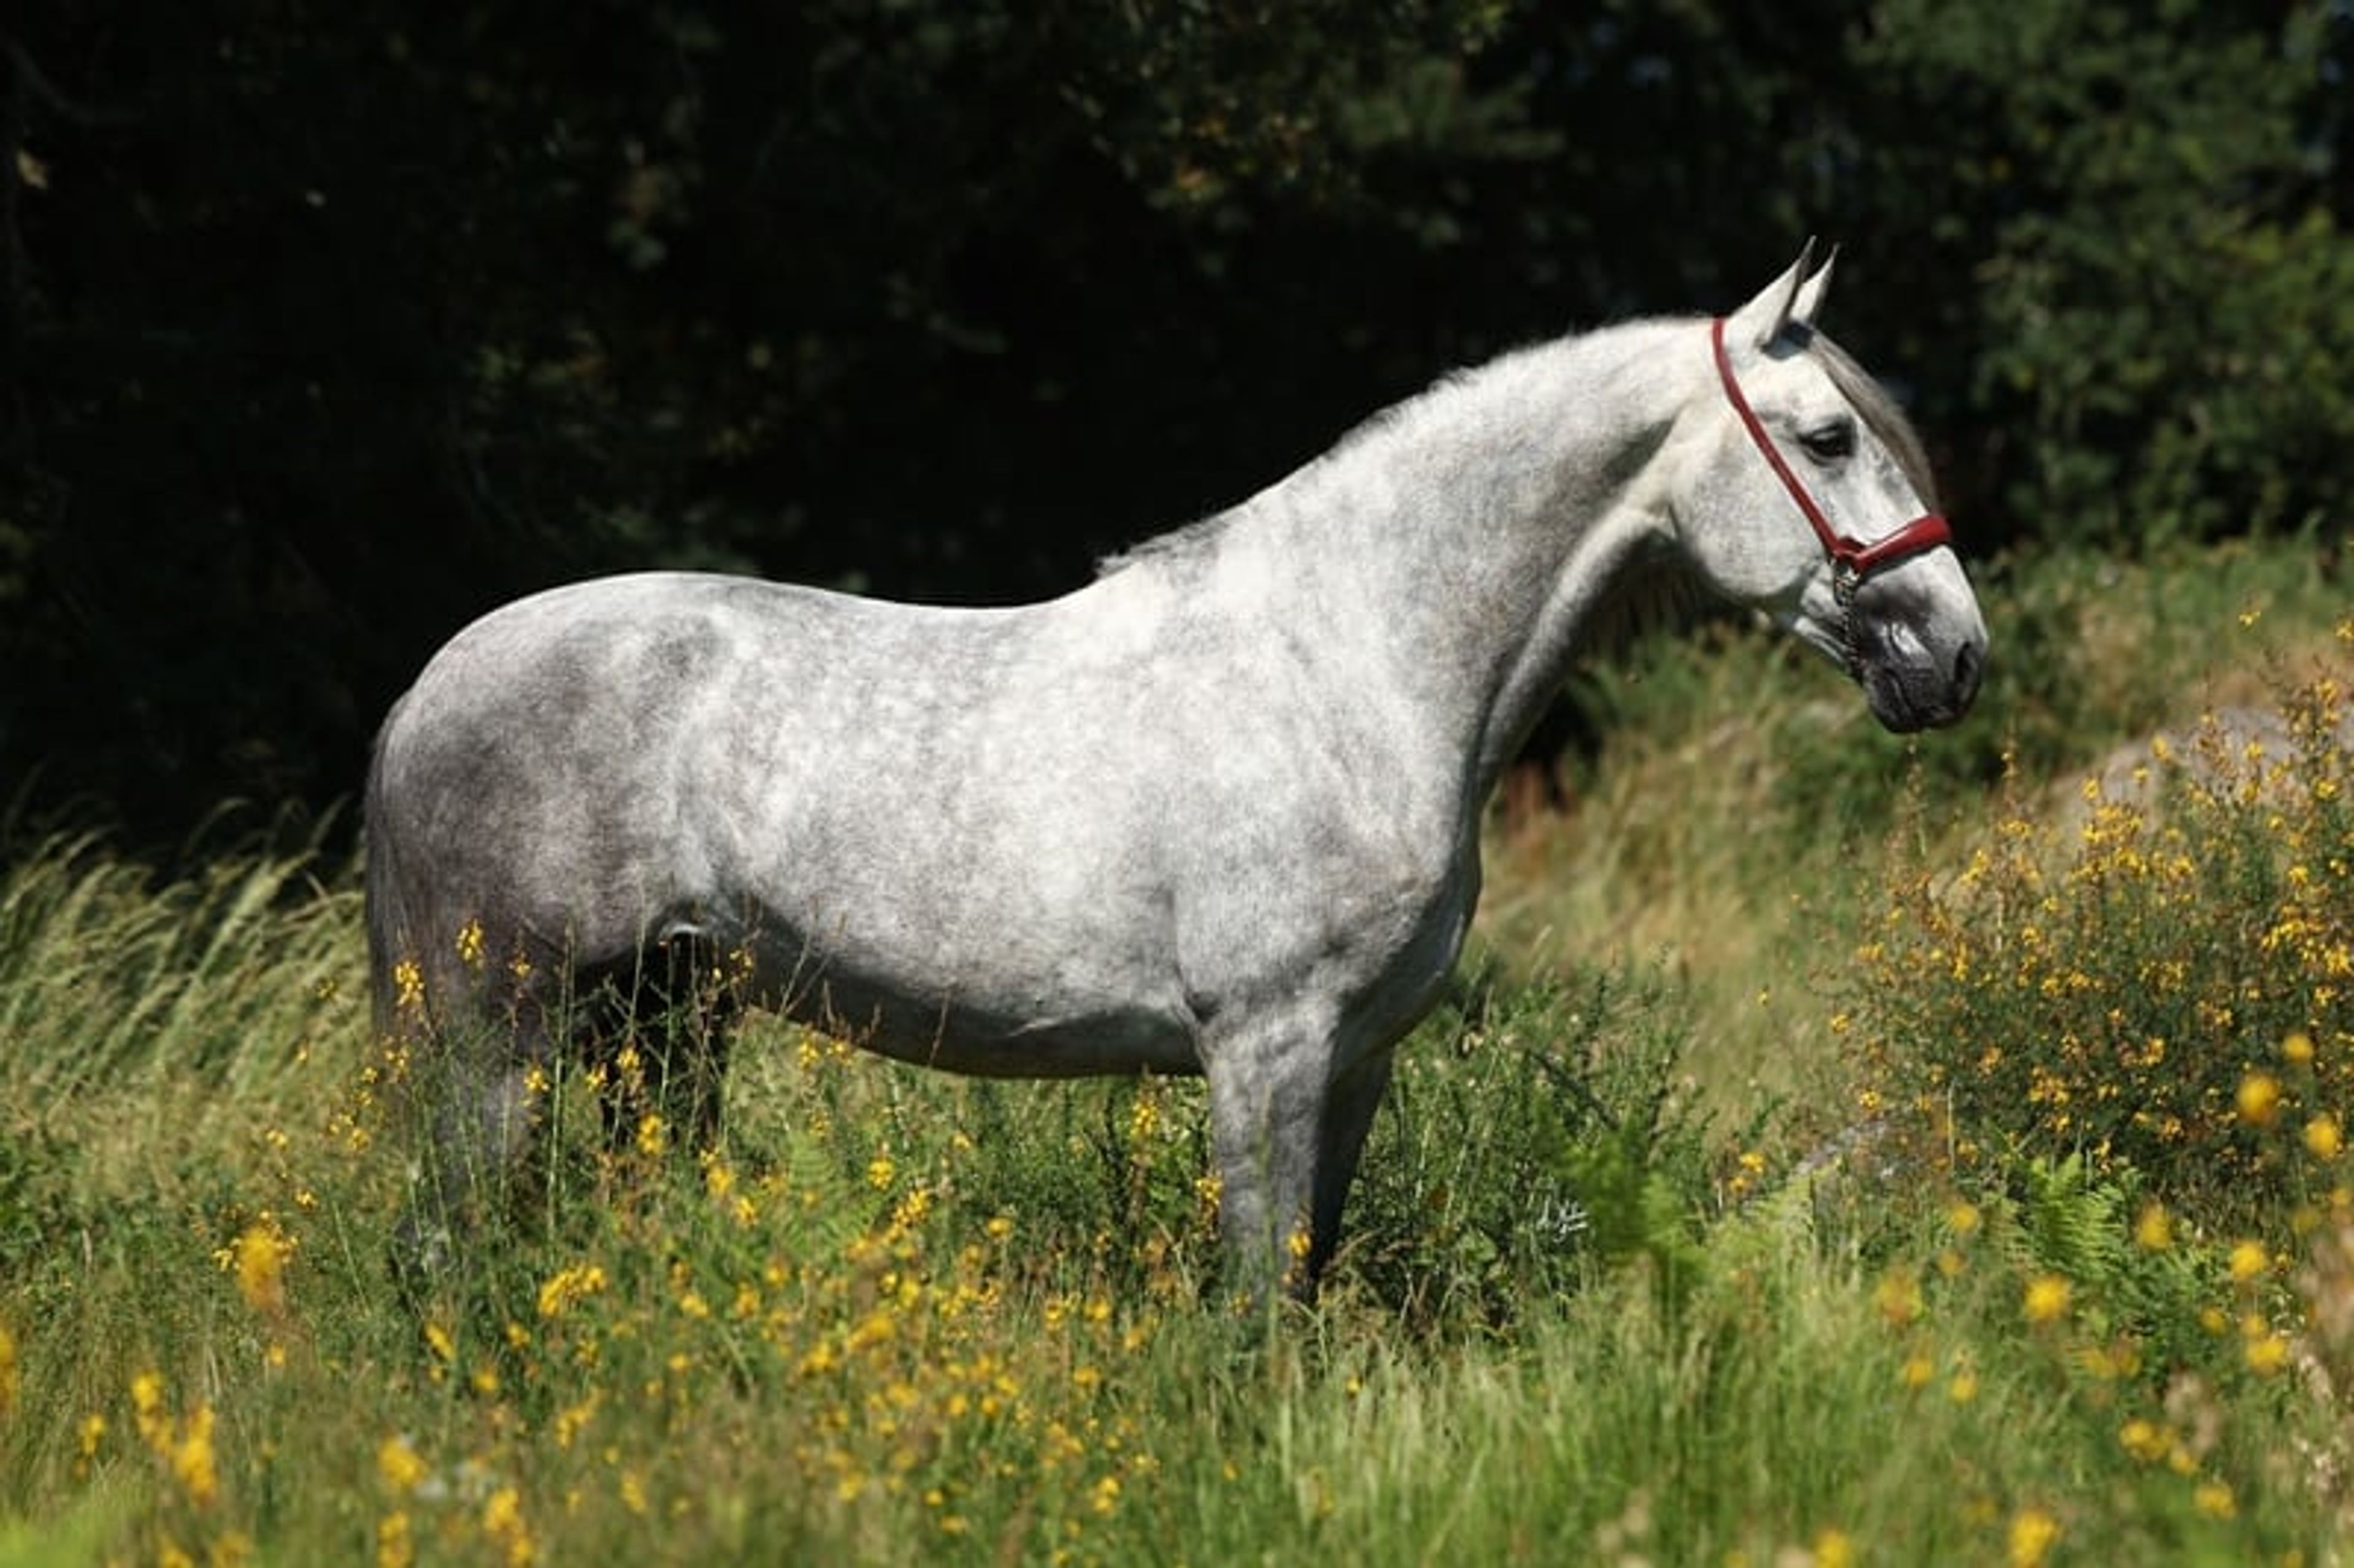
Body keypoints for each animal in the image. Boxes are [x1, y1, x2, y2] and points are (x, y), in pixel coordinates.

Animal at [365, 245, 1986, 1294]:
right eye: (1825, 437)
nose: (1953, 654)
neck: (1353, 665)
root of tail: (428, 685)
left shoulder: (1356, 1058)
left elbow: (1308, 1279)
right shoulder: (1263, 1048)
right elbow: (1256, 1302)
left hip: (654, 1021)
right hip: (497, 1032)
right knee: (454, 1245)